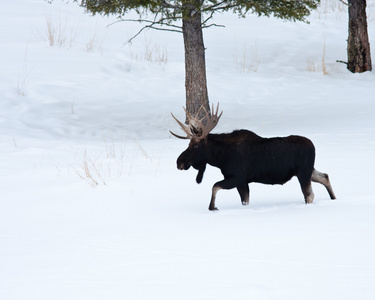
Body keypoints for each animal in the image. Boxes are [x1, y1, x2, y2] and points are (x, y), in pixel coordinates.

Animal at [172, 103, 336, 211]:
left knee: (309, 194)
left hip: (303, 172)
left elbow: (214, 186)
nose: (179, 162)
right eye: (189, 143)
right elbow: (244, 200)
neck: (220, 158)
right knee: (325, 176)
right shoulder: (242, 181)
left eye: (195, 145)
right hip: (307, 170)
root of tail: (313, 146)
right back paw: (334, 198)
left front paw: (212, 207)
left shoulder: (238, 177)